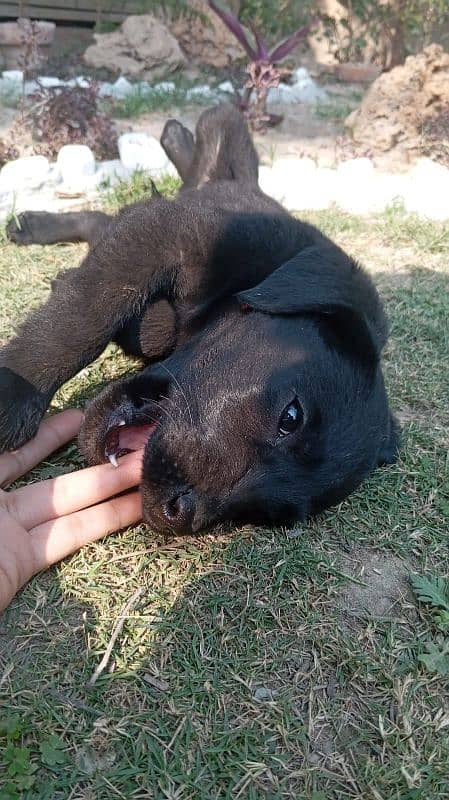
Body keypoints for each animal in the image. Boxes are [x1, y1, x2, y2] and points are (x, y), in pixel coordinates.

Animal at [0, 104, 400, 532]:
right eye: (291, 416)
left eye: (263, 515)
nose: (175, 513)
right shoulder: (171, 234)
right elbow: (85, 314)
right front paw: (16, 391)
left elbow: (140, 322)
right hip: (214, 149)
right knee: (213, 131)